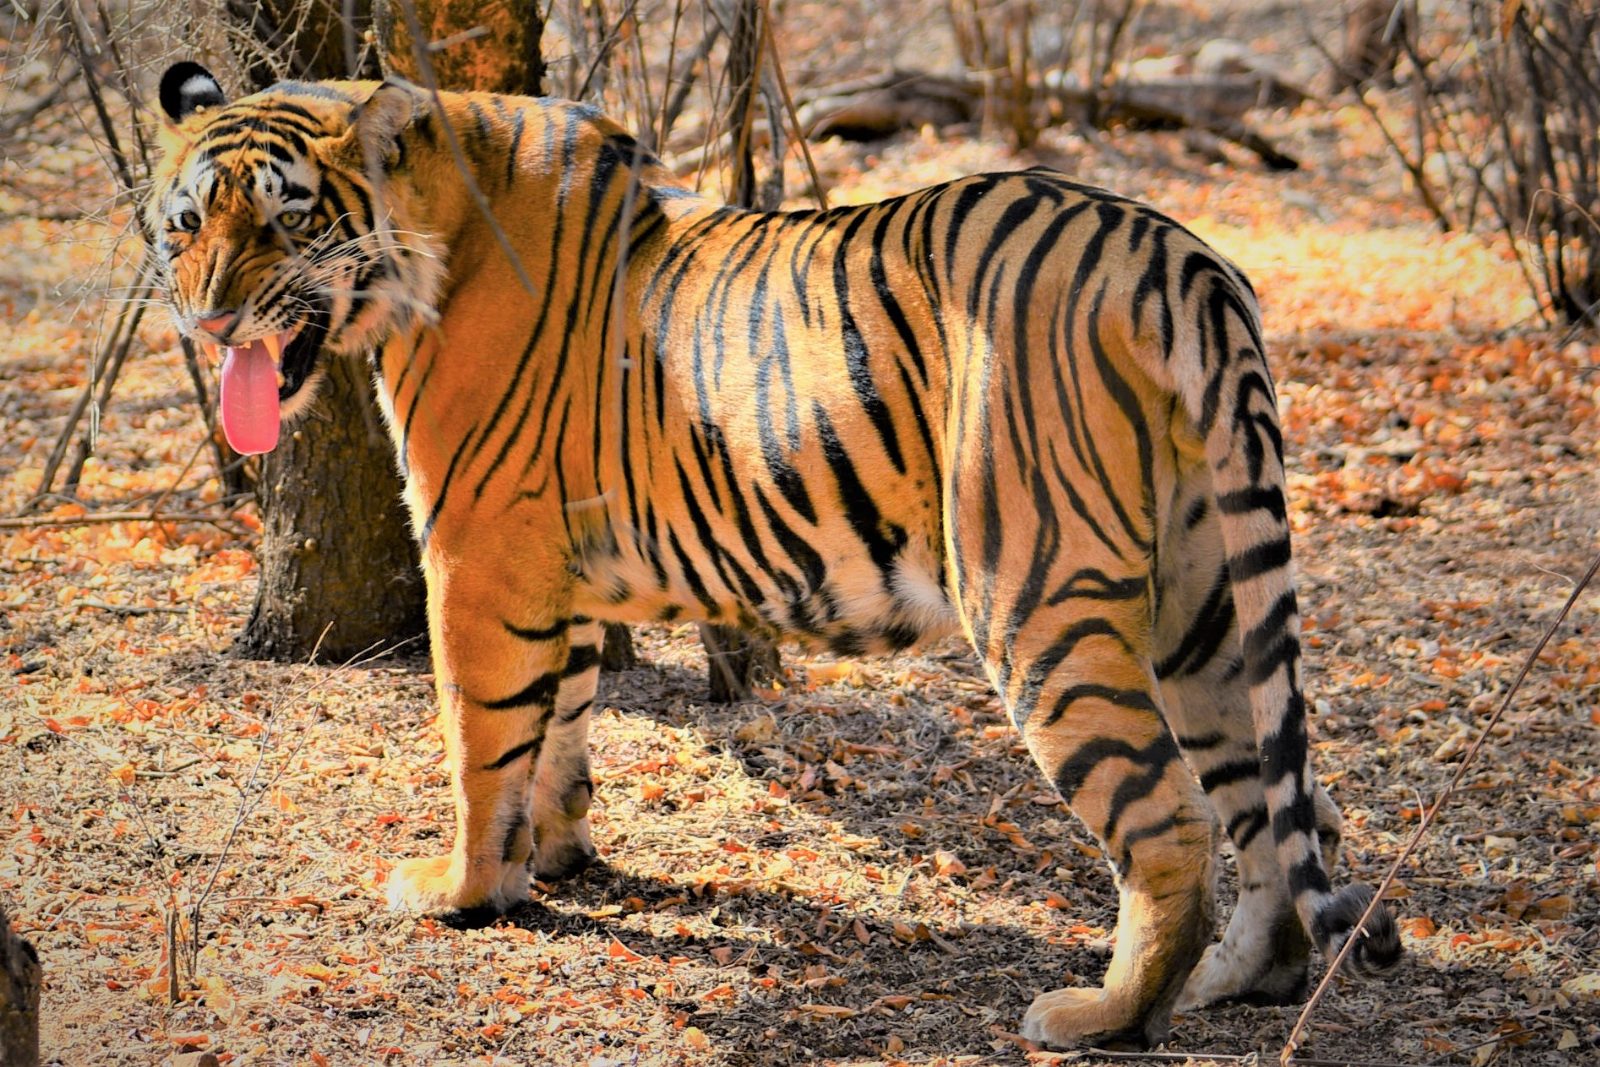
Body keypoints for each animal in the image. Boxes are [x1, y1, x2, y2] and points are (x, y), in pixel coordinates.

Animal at [149, 61, 1400, 1047]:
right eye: (187, 222)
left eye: (288, 220)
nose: (205, 322)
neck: (438, 230)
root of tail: (1171, 253)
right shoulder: (553, 559)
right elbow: (562, 717)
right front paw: (552, 855)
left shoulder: (476, 550)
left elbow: (480, 735)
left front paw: (463, 887)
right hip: (1203, 596)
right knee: (1279, 802)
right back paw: (1238, 980)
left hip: (1038, 597)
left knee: (1170, 819)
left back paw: (1101, 1013)